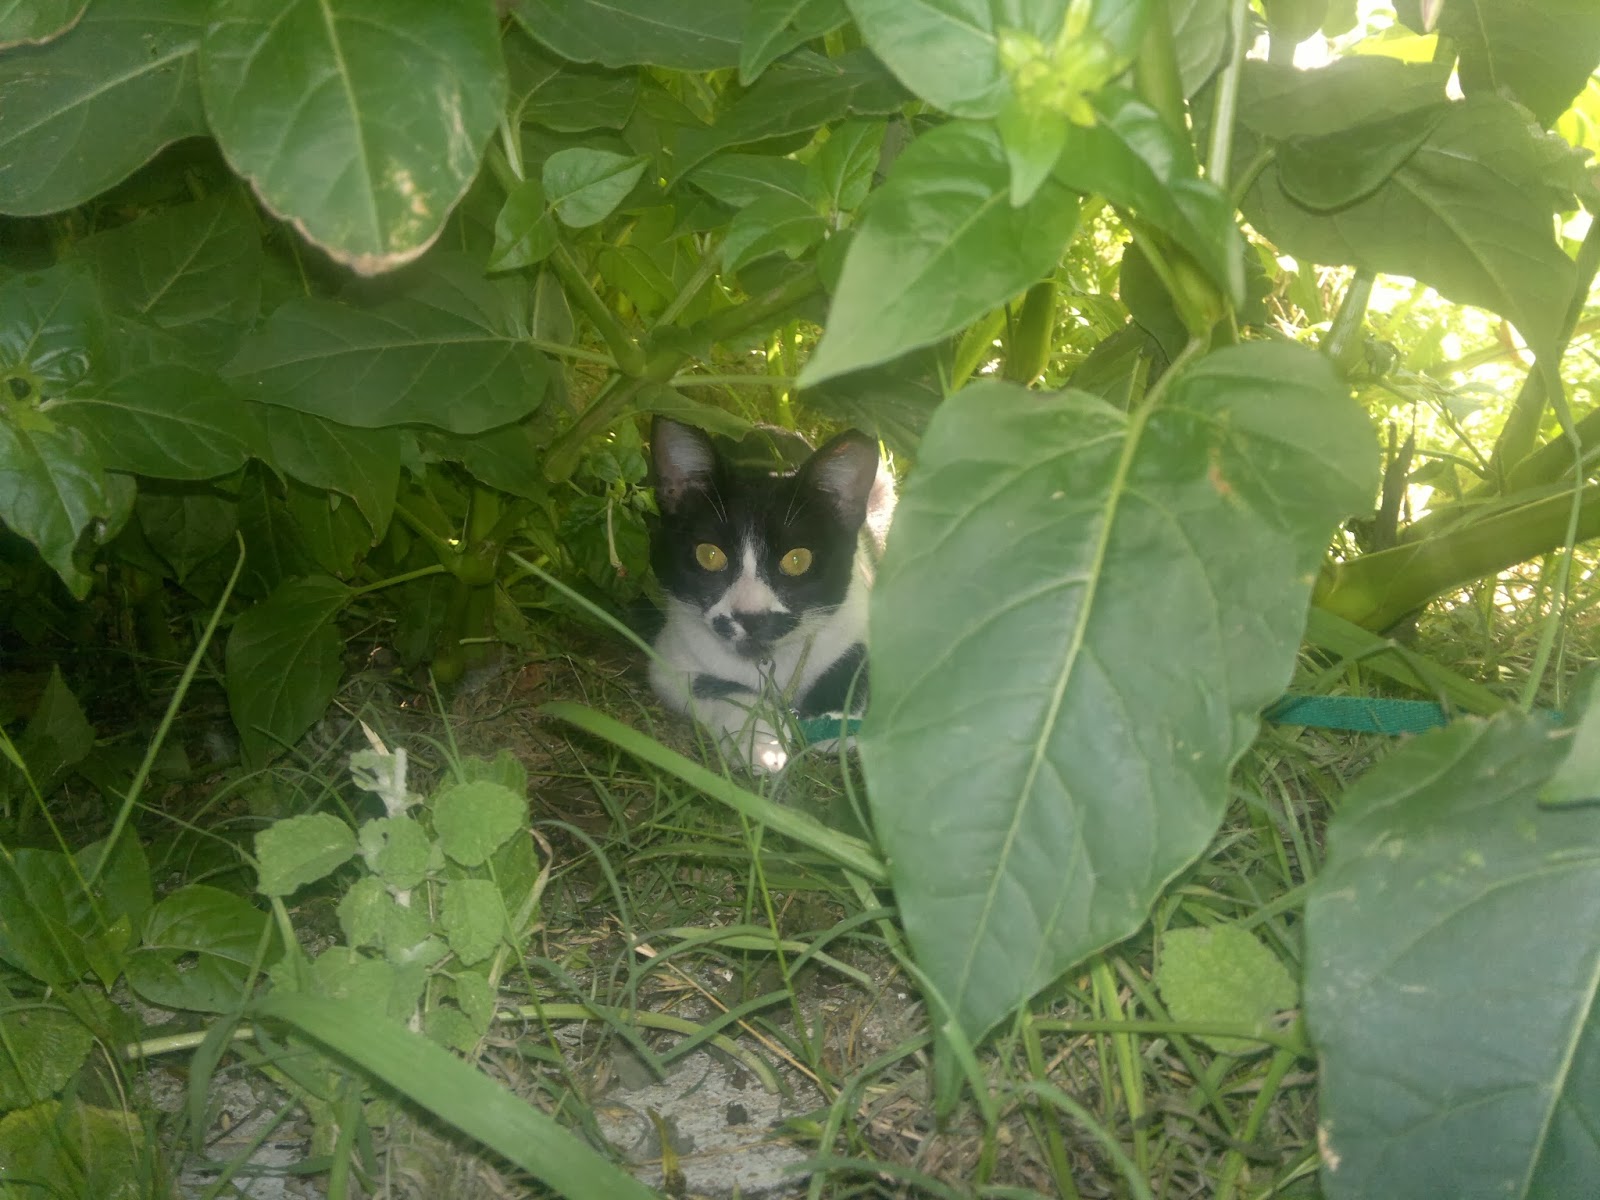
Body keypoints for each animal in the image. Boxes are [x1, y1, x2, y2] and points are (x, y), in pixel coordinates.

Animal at [647, 416, 893, 773]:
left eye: (797, 560)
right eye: (709, 555)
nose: (750, 616)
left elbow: (854, 658)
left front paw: (831, 721)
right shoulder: (670, 658)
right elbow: (717, 687)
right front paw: (762, 743)